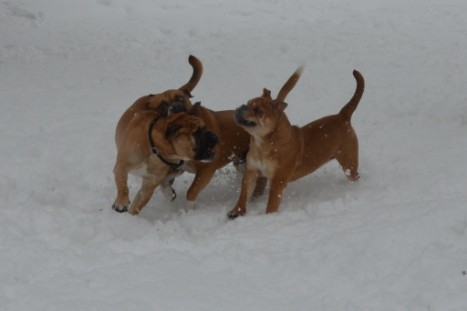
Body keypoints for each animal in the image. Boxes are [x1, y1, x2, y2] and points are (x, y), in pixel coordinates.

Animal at [159, 66, 306, 206]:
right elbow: (164, 181)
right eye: (164, 105)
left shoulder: (206, 170)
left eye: (181, 99)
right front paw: (168, 193)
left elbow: (191, 191)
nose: (174, 106)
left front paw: (189, 207)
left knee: (261, 182)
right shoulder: (176, 166)